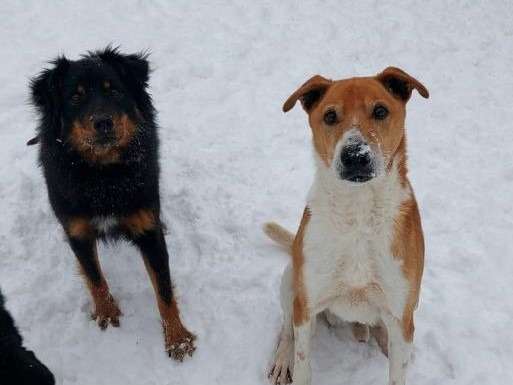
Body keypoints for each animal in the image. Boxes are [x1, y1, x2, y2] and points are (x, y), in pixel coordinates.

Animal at [29, 47, 196, 360]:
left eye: (114, 90)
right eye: (76, 97)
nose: (103, 122)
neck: (104, 178)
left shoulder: (148, 230)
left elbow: (164, 289)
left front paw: (177, 338)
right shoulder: (77, 232)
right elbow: (94, 277)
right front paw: (106, 312)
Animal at [264, 67, 428, 384]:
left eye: (380, 111)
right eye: (330, 116)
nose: (355, 156)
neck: (358, 216)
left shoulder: (400, 313)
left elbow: (397, 372)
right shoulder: (306, 305)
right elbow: (302, 365)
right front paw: (292, 362)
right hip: (291, 278)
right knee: (286, 328)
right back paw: (282, 359)